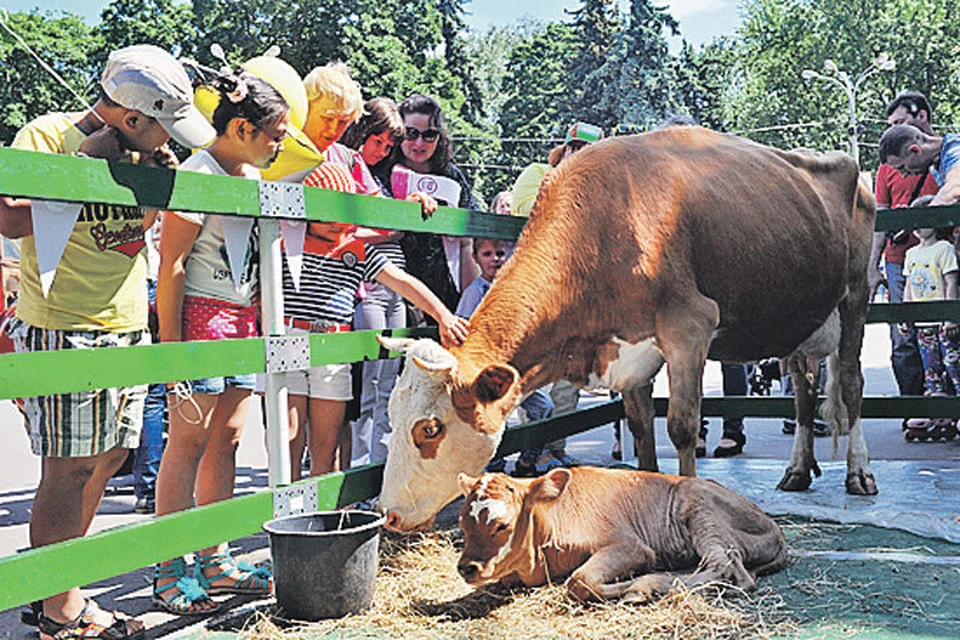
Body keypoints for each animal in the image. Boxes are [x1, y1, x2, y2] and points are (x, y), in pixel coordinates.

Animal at [376, 125, 876, 528]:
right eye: (392, 416)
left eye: (430, 429)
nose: (390, 514)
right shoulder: (630, 352)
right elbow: (640, 428)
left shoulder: (689, 327)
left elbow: (681, 426)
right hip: (799, 319)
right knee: (803, 393)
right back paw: (797, 470)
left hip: (856, 296)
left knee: (852, 384)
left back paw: (859, 473)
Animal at [458, 468, 788, 604]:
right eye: (462, 523)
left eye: (501, 525)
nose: (466, 568)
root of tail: (774, 528)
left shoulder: (632, 547)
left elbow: (580, 581)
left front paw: (642, 586)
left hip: (701, 510)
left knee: (727, 567)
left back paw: (652, 584)